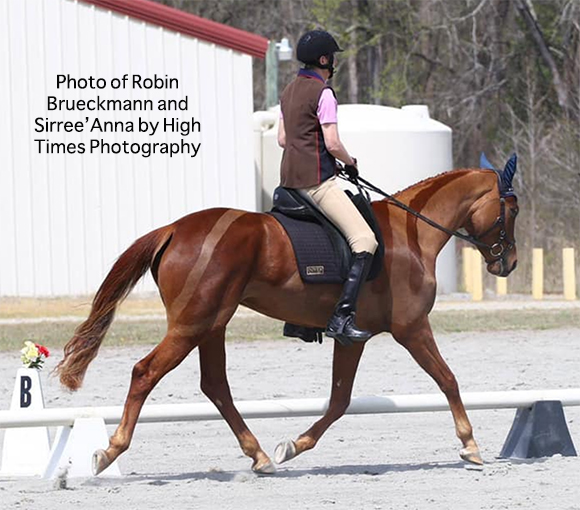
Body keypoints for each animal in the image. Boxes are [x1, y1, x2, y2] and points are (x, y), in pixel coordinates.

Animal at [56, 162, 520, 474]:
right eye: (511, 211)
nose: (509, 263)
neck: (413, 232)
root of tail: (172, 228)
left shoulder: (352, 336)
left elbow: (339, 400)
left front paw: (293, 445)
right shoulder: (412, 329)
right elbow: (448, 380)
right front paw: (470, 445)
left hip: (211, 324)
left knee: (215, 386)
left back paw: (259, 455)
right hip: (192, 325)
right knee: (146, 372)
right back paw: (110, 451)